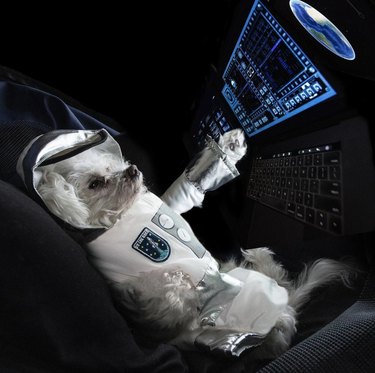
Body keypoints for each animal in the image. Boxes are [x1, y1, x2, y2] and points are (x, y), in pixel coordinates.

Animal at [16, 128, 354, 358]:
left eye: (114, 167)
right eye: (96, 183)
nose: (133, 170)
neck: (124, 215)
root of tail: (286, 307)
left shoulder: (171, 203)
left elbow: (188, 188)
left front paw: (230, 146)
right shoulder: (156, 286)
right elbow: (173, 290)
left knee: (276, 276)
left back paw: (258, 254)